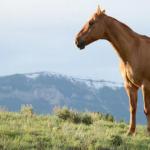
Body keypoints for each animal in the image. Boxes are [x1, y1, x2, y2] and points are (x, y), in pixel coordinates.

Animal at [75, 5, 150, 135]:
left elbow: (147, 109)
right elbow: (133, 108)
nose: (77, 40)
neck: (134, 51)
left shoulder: (145, 85)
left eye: (91, 22)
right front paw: (130, 132)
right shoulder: (130, 86)